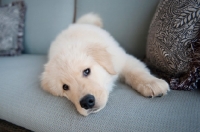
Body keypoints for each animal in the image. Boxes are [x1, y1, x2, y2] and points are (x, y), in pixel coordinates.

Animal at [40, 13, 169, 116]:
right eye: (65, 87)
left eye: (86, 71)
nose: (86, 102)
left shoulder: (122, 59)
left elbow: (136, 72)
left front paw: (152, 83)